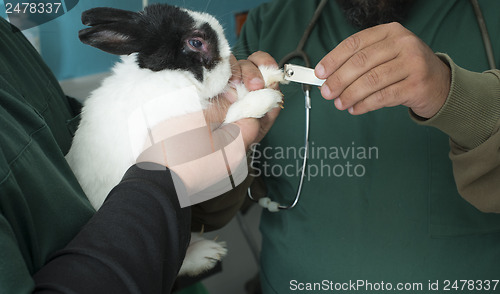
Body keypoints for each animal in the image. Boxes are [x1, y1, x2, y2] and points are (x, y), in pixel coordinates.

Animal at [66, 3, 286, 276]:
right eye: (196, 42)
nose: (228, 60)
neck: (170, 75)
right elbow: (234, 113)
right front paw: (265, 99)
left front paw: (270, 74)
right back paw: (207, 255)